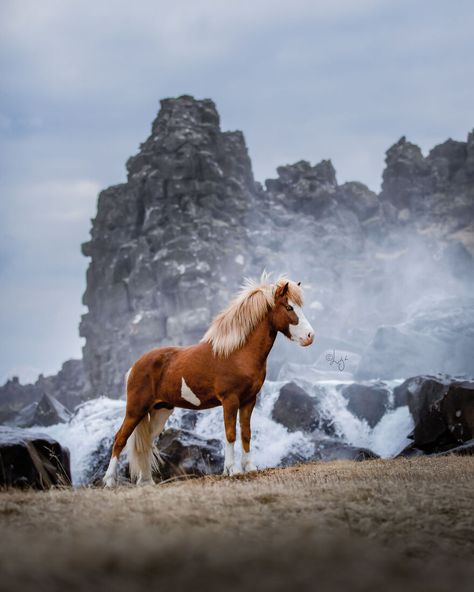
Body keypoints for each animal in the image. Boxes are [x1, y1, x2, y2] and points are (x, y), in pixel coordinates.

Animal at [105, 276, 316, 488]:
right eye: (289, 307)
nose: (310, 337)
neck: (238, 353)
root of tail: (135, 366)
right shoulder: (230, 400)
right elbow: (230, 434)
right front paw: (233, 470)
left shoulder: (249, 400)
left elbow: (246, 433)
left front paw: (249, 468)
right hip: (136, 409)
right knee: (120, 439)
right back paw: (109, 481)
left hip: (159, 411)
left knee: (146, 443)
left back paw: (146, 482)